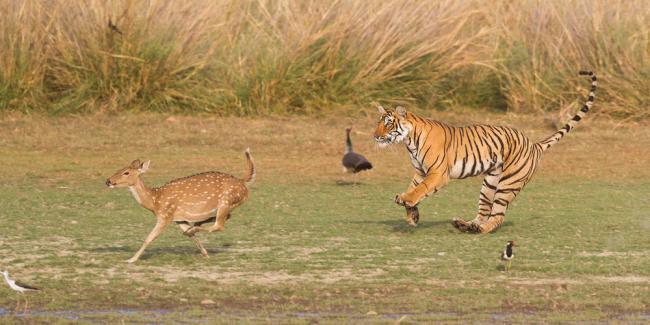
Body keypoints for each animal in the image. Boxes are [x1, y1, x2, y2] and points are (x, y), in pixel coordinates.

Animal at [105, 148, 254, 262]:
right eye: (119, 169)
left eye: (126, 172)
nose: (108, 181)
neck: (154, 201)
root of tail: (243, 182)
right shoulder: (178, 219)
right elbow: (191, 236)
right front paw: (205, 254)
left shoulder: (165, 215)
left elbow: (149, 238)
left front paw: (131, 259)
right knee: (225, 218)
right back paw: (195, 226)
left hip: (226, 201)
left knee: (219, 225)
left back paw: (195, 227)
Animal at [372, 71, 596, 233]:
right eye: (378, 123)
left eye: (388, 123)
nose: (375, 136)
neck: (409, 141)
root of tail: (534, 145)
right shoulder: (420, 171)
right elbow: (415, 187)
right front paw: (412, 214)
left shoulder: (437, 173)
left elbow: (420, 190)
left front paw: (407, 201)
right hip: (490, 183)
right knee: (483, 213)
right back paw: (466, 225)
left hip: (507, 184)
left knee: (497, 217)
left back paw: (479, 229)